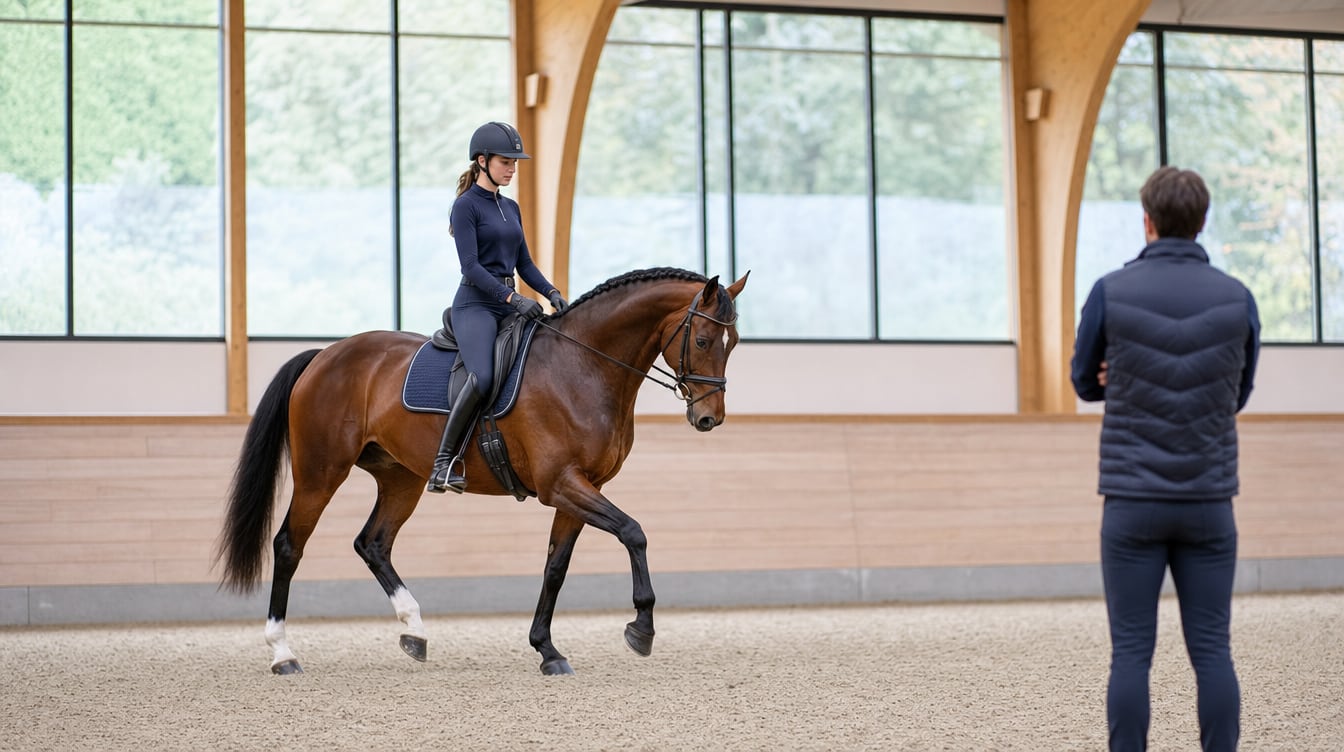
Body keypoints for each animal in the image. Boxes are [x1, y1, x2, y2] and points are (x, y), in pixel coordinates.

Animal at [214, 267, 749, 675]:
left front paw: (547, 650)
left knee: (373, 543)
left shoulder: (580, 488)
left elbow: (556, 567)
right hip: (321, 472)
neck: (584, 366)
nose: (709, 418)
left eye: (734, 342)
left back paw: (414, 631)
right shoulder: (562, 485)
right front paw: (641, 628)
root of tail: (324, 355)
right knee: (290, 545)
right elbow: (634, 532)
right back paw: (282, 654)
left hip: (401, 478)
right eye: (703, 339)